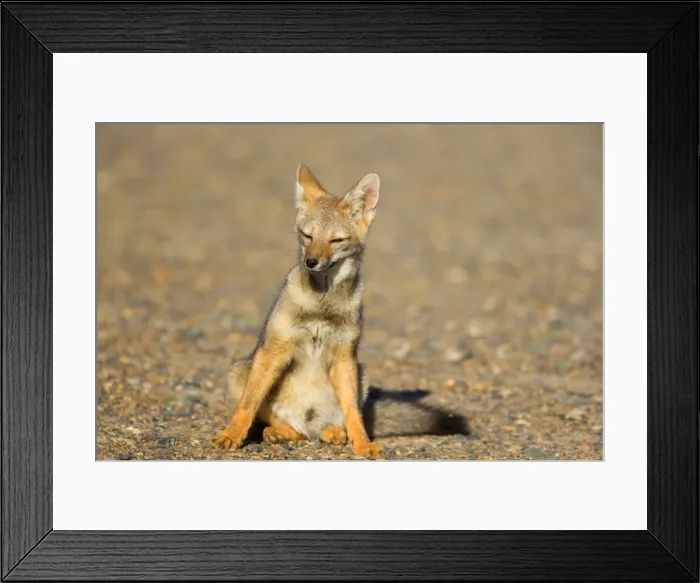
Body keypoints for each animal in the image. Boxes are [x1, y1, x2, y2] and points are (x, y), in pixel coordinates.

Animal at [212, 165, 468, 459]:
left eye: (336, 240)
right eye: (307, 236)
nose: (311, 261)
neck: (321, 307)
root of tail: (309, 422)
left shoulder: (345, 356)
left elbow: (353, 413)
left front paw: (363, 443)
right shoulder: (274, 350)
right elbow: (248, 403)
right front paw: (231, 435)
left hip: (361, 375)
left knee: (324, 427)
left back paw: (332, 433)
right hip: (241, 370)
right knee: (284, 425)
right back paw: (279, 432)